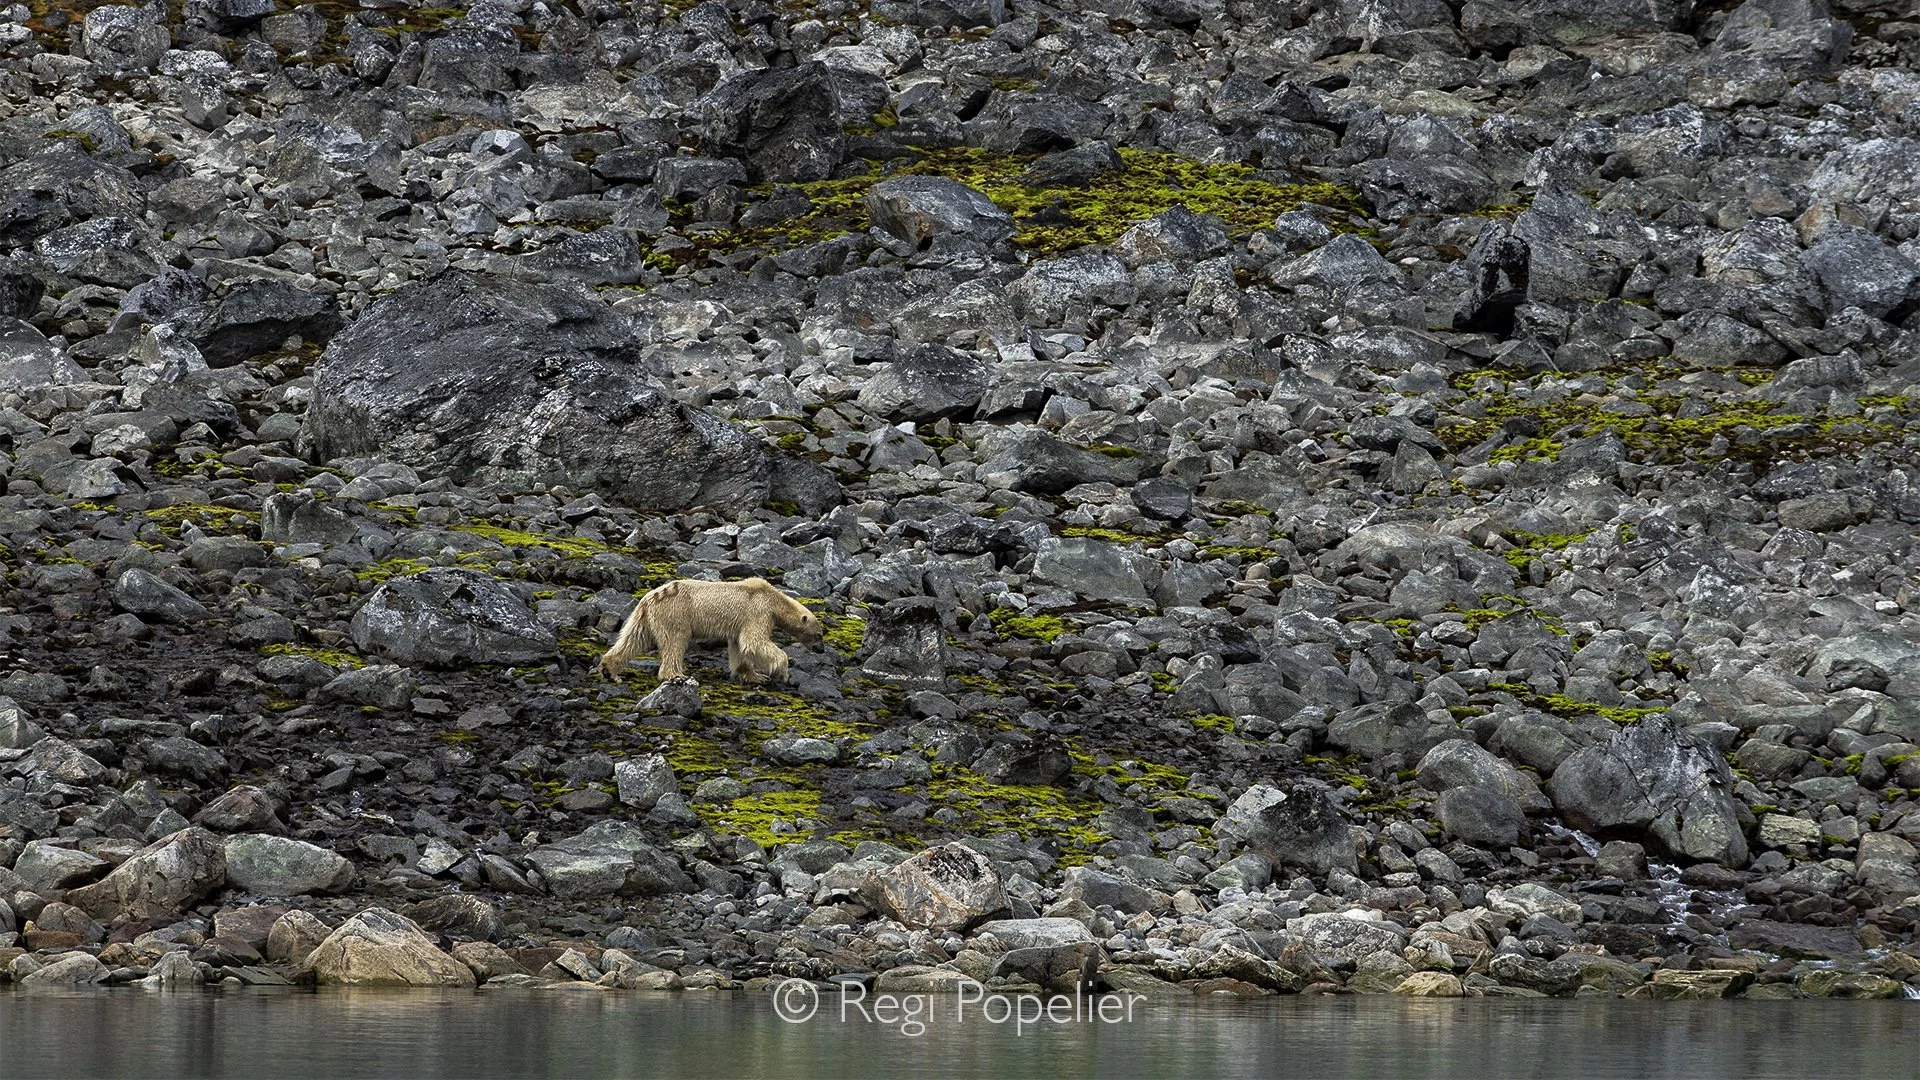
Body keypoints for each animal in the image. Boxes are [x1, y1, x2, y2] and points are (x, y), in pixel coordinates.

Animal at [596, 577, 823, 685]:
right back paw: (676, 675)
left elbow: (739, 646)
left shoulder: (740, 624)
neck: (773, 599)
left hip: (644, 617)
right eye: (818, 634)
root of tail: (650, 597)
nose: (820, 649)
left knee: (634, 638)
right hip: (675, 614)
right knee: (675, 641)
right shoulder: (758, 612)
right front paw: (781, 673)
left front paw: (755, 676)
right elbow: (753, 641)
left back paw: (610, 669)